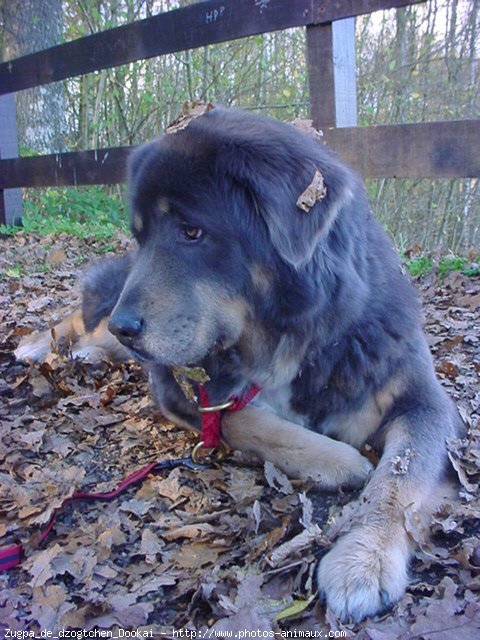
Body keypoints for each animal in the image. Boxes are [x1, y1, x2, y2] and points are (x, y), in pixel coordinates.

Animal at [16, 107, 464, 624]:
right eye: (141, 234)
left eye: (192, 231)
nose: (126, 327)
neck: (287, 340)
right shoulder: (181, 391)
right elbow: (248, 421)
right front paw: (341, 461)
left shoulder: (425, 401)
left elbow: (402, 473)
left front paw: (365, 557)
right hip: (106, 309)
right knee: (79, 318)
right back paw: (38, 347)